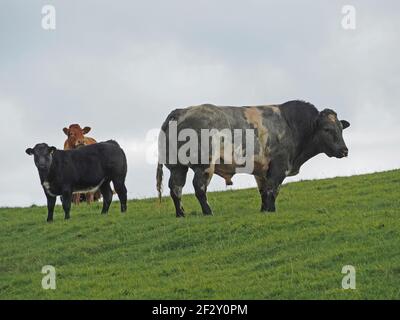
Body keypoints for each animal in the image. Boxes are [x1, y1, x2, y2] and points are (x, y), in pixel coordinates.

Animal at [156, 99, 350, 216]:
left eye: (341, 128)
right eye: (327, 129)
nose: (344, 150)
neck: (291, 125)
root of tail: (180, 111)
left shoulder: (261, 169)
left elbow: (264, 191)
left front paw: (264, 210)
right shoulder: (279, 166)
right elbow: (273, 189)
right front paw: (271, 210)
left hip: (176, 166)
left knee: (175, 188)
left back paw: (181, 214)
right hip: (204, 164)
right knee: (199, 187)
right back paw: (208, 212)